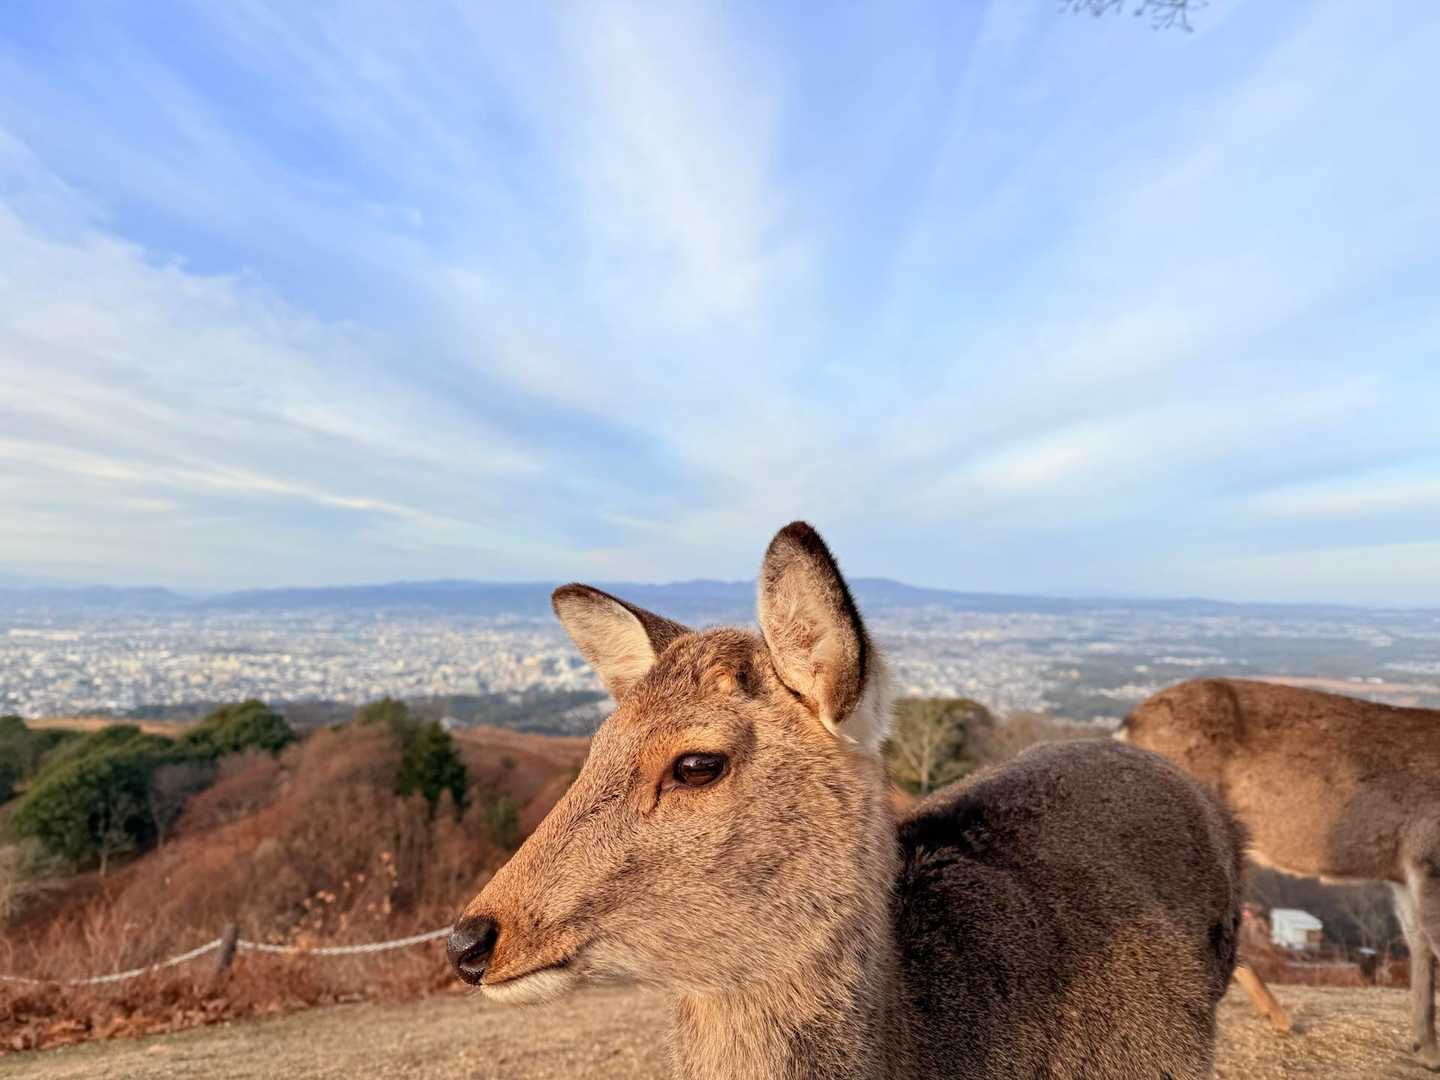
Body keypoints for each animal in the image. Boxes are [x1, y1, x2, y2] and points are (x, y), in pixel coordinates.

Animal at [1123, 677, 1440, 1071]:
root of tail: (1129, 724)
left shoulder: (1404, 870)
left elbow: (1418, 942)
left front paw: (1425, 1048)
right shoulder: (1428, 852)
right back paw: (1273, 1016)